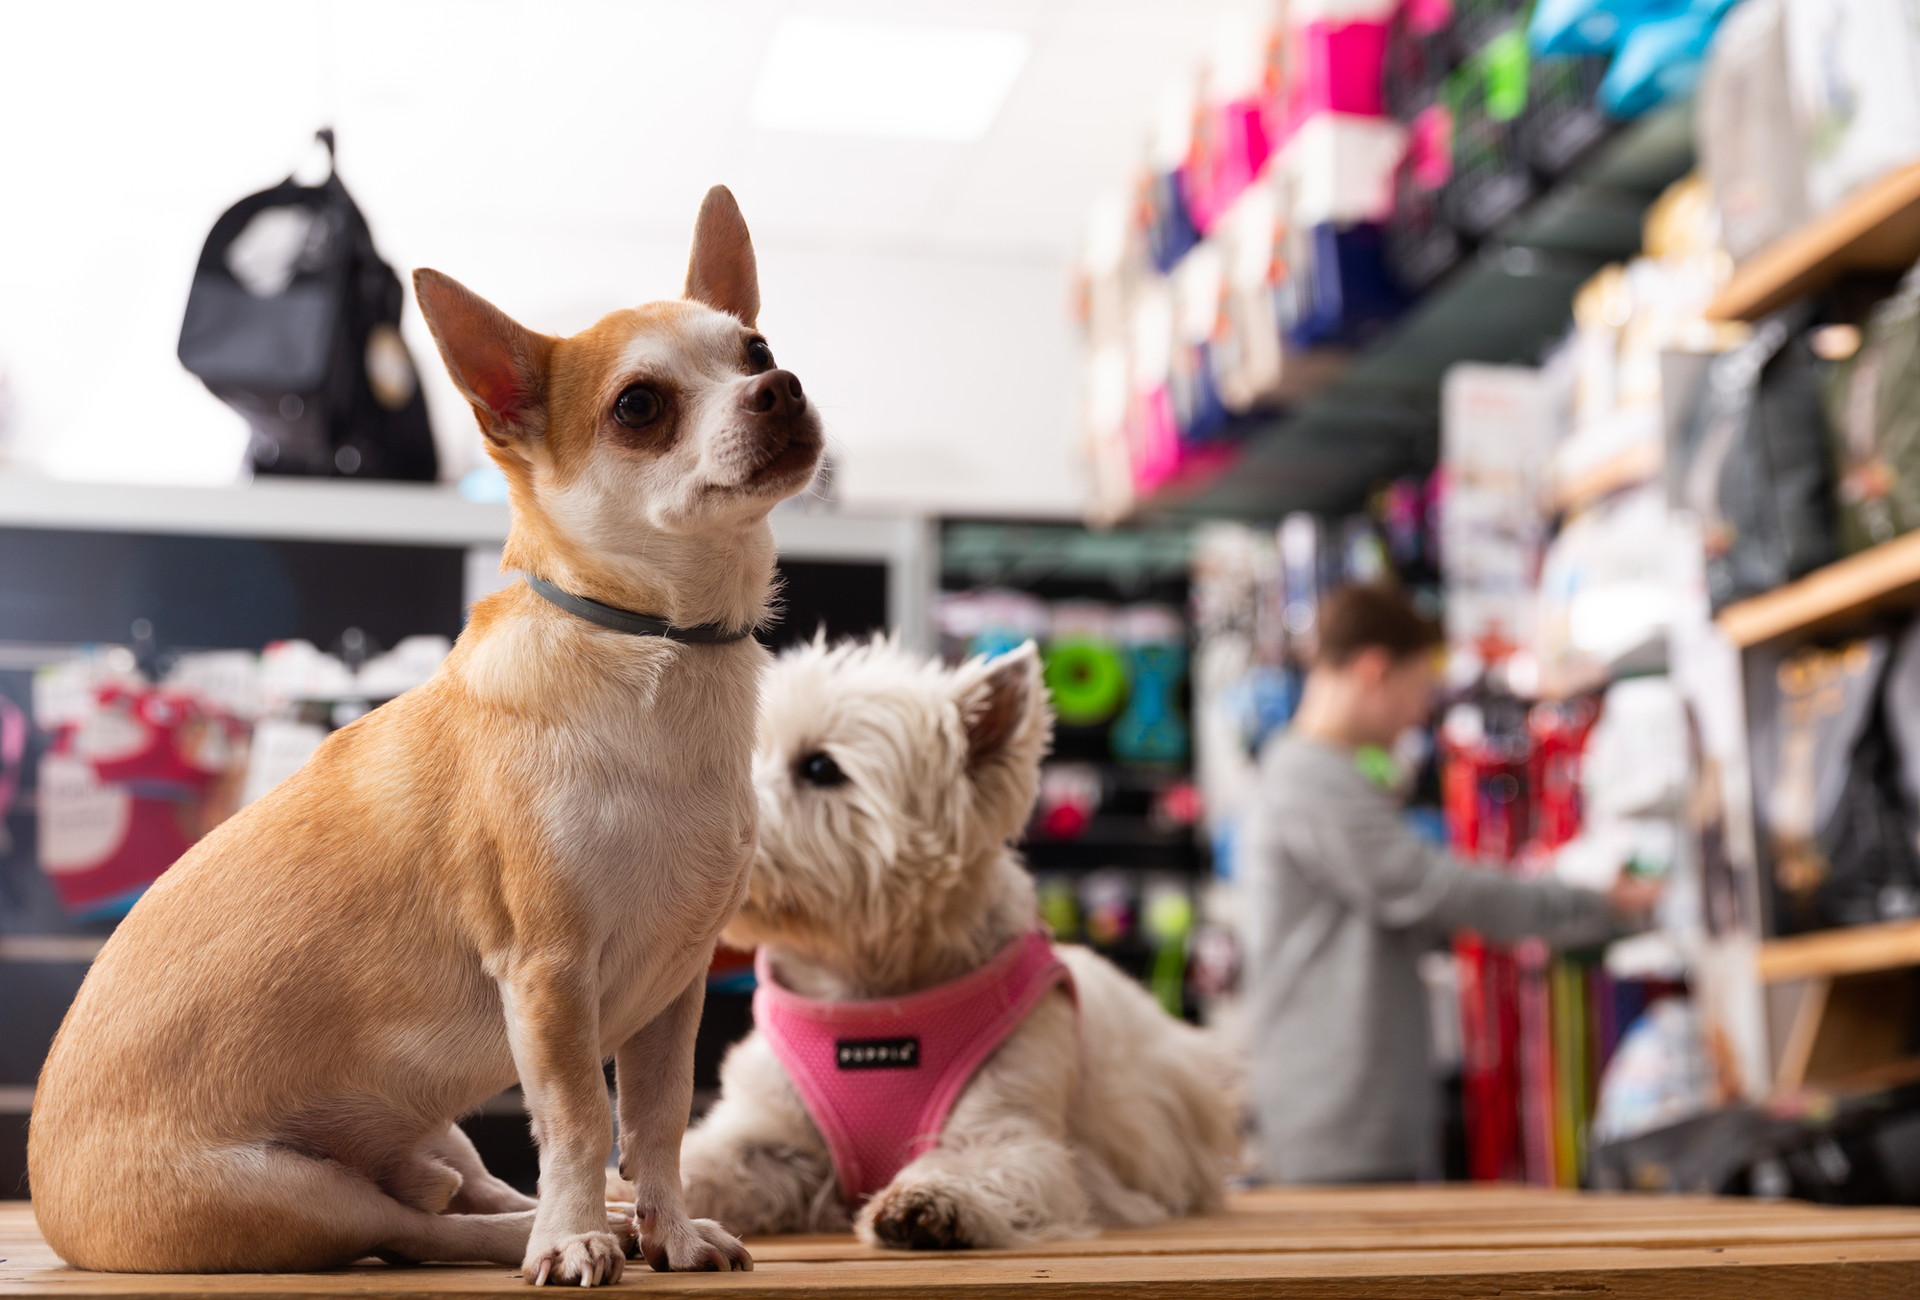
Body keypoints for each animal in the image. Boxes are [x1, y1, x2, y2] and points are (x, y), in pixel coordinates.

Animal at [675, 637, 1244, 1244]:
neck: (867, 993)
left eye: (820, 767)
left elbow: (981, 1159)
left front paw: (927, 1201)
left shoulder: (1010, 1126)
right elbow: (704, 1162)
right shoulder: (769, 1132)